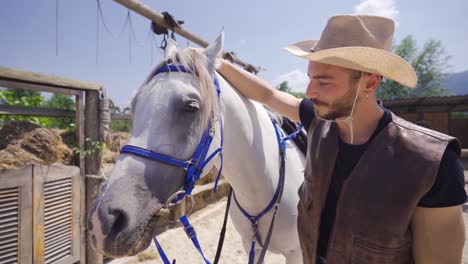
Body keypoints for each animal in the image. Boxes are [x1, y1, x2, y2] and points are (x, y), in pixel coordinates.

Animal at [88, 33, 304, 264]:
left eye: (191, 107)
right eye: (135, 104)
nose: (104, 219)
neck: (266, 182)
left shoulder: (296, 253)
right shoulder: (250, 245)